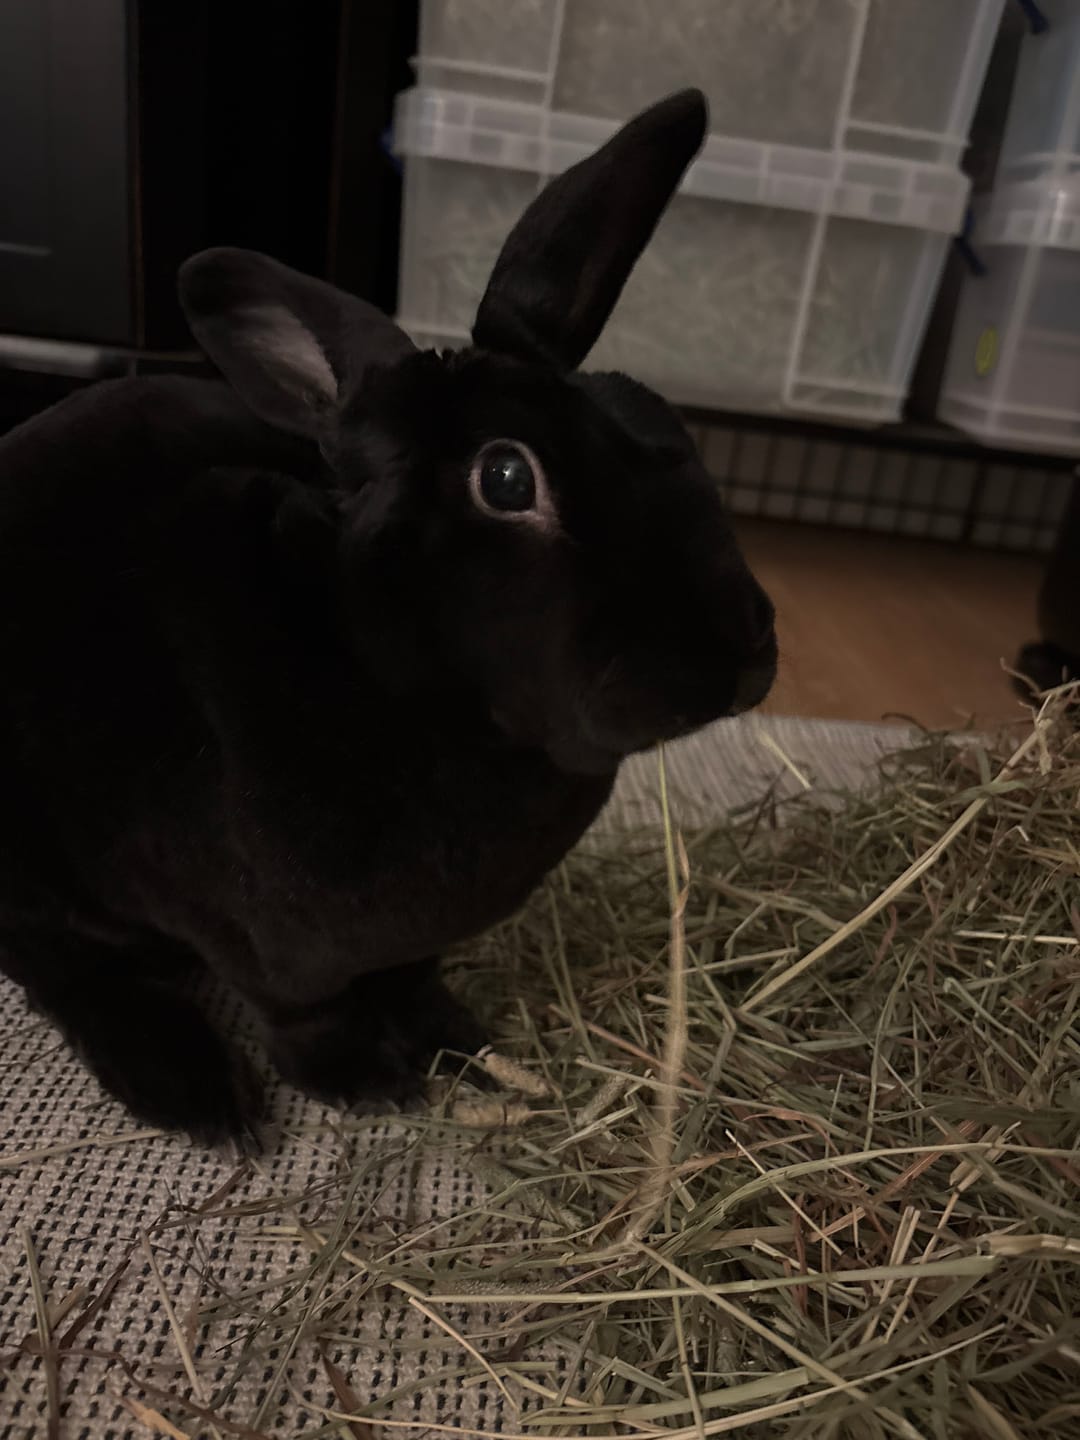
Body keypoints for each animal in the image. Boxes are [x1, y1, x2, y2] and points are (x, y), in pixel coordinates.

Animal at [0, 88, 776, 1144]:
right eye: (506, 478)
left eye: (662, 421)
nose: (744, 656)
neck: (386, 671)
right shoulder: (265, 942)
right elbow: (307, 1013)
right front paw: (366, 1083)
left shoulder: (410, 942)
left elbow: (411, 981)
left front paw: (458, 1042)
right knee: (66, 972)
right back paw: (193, 1091)